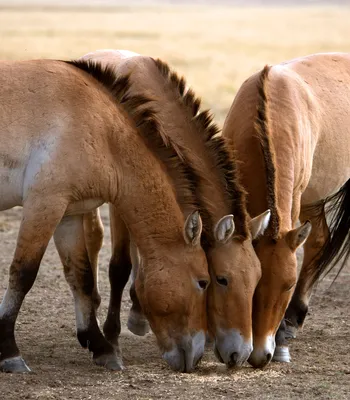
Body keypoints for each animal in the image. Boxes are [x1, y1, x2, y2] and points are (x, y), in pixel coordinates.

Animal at [0, 60, 211, 376]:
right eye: (203, 282)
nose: (196, 358)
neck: (99, 127)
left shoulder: (69, 214)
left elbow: (81, 277)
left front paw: (101, 346)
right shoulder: (44, 204)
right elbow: (23, 274)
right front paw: (9, 352)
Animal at [79, 48, 270, 368]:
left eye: (257, 279)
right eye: (222, 279)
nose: (240, 354)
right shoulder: (121, 204)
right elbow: (119, 267)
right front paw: (112, 341)